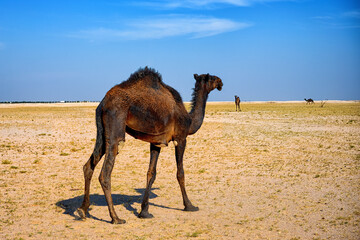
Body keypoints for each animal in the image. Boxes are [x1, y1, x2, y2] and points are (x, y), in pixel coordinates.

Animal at [76, 66, 222, 223]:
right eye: (212, 78)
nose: (221, 82)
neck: (189, 121)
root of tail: (102, 103)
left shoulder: (156, 142)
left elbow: (151, 173)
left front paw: (144, 211)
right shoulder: (181, 138)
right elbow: (180, 173)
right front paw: (189, 205)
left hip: (102, 132)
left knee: (89, 165)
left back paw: (82, 210)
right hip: (115, 125)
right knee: (105, 172)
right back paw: (116, 218)